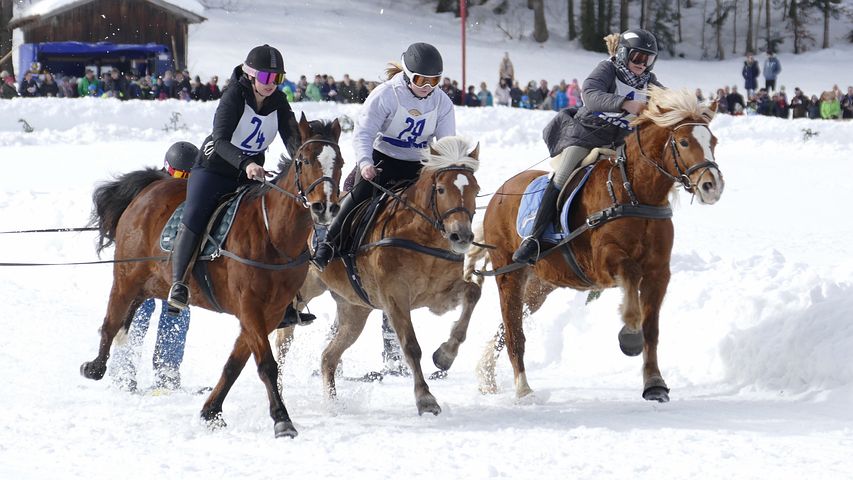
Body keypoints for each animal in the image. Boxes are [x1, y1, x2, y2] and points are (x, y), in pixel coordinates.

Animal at [79, 116, 342, 438]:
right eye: (303, 161)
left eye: (340, 162)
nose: (324, 207)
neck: (273, 235)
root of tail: (150, 186)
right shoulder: (251, 308)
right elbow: (266, 365)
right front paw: (282, 419)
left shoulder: (269, 313)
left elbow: (234, 365)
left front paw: (211, 411)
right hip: (126, 278)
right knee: (111, 321)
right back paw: (95, 367)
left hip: (152, 283)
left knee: (128, 317)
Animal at [280, 137, 480, 414]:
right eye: (440, 189)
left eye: (476, 189)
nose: (461, 236)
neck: (419, 233)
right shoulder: (395, 297)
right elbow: (410, 346)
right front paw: (425, 398)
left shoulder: (439, 296)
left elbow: (473, 293)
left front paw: (445, 355)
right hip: (306, 289)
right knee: (283, 339)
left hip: (354, 310)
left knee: (328, 357)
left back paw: (333, 404)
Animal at [476, 89, 724, 402]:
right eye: (683, 142)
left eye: (713, 142)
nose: (712, 186)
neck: (634, 192)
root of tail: (498, 195)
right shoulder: (603, 262)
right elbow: (630, 274)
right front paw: (629, 334)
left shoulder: (659, 272)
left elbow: (652, 329)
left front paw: (654, 382)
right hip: (510, 274)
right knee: (513, 330)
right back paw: (523, 389)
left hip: (540, 284)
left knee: (507, 326)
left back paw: (486, 375)